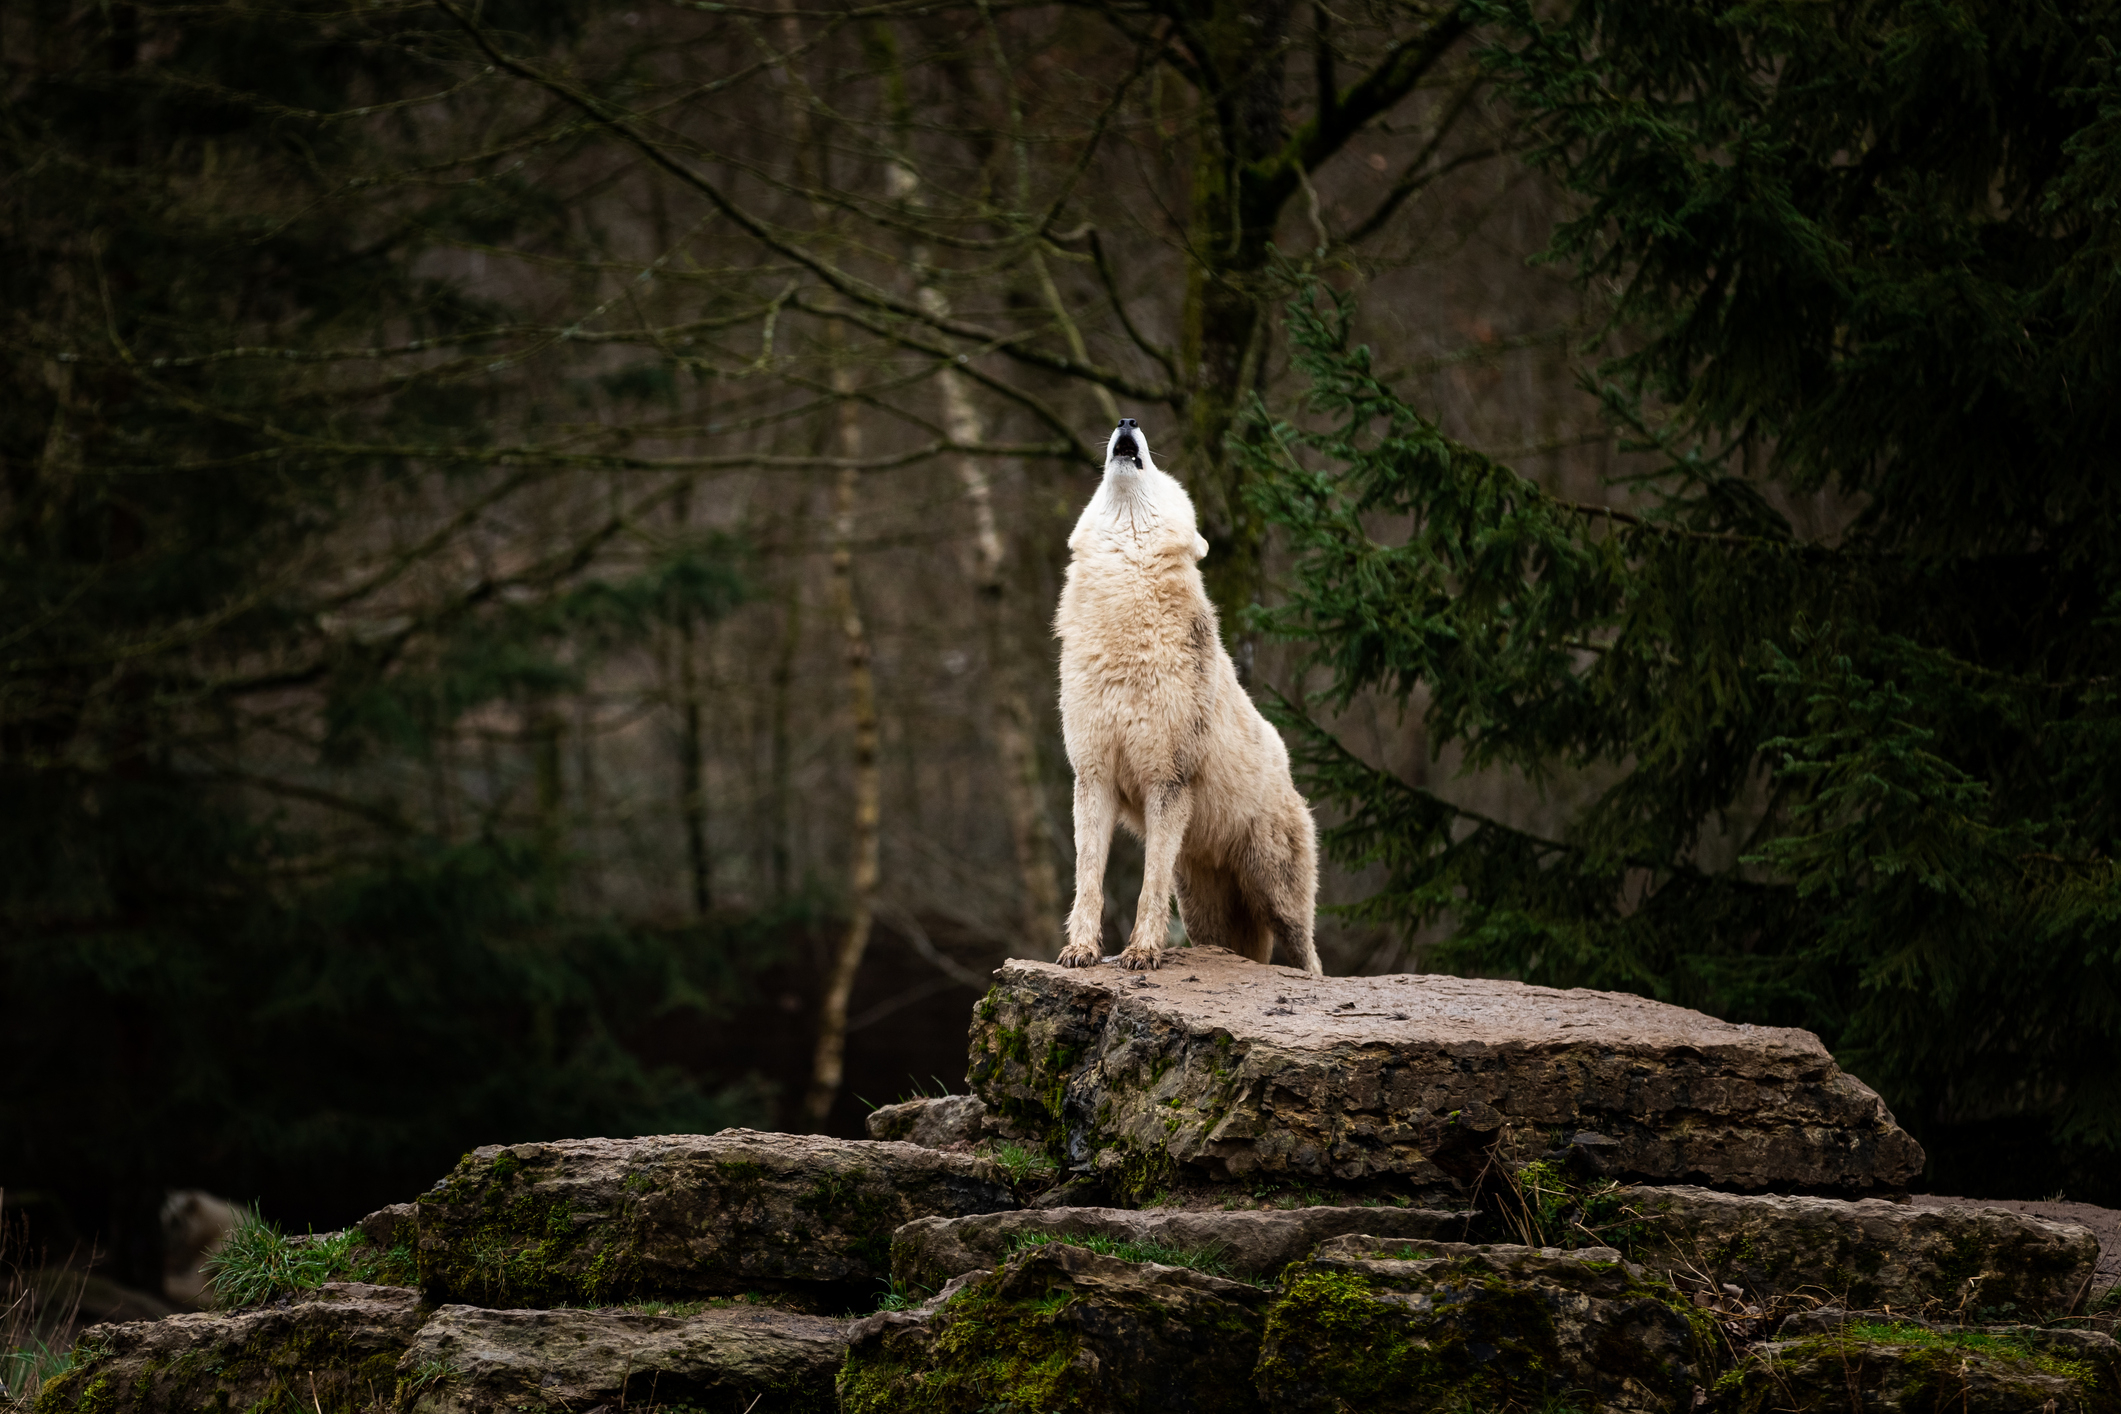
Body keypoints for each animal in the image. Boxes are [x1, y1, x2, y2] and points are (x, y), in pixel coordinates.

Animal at [1052, 418, 1322, 974]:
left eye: (1156, 472)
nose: (1128, 421)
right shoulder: (1093, 778)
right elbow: (1088, 880)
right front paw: (1081, 950)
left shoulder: (1167, 781)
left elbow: (1148, 885)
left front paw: (1141, 951)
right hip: (1209, 916)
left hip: (1279, 898)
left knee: (1311, 959)